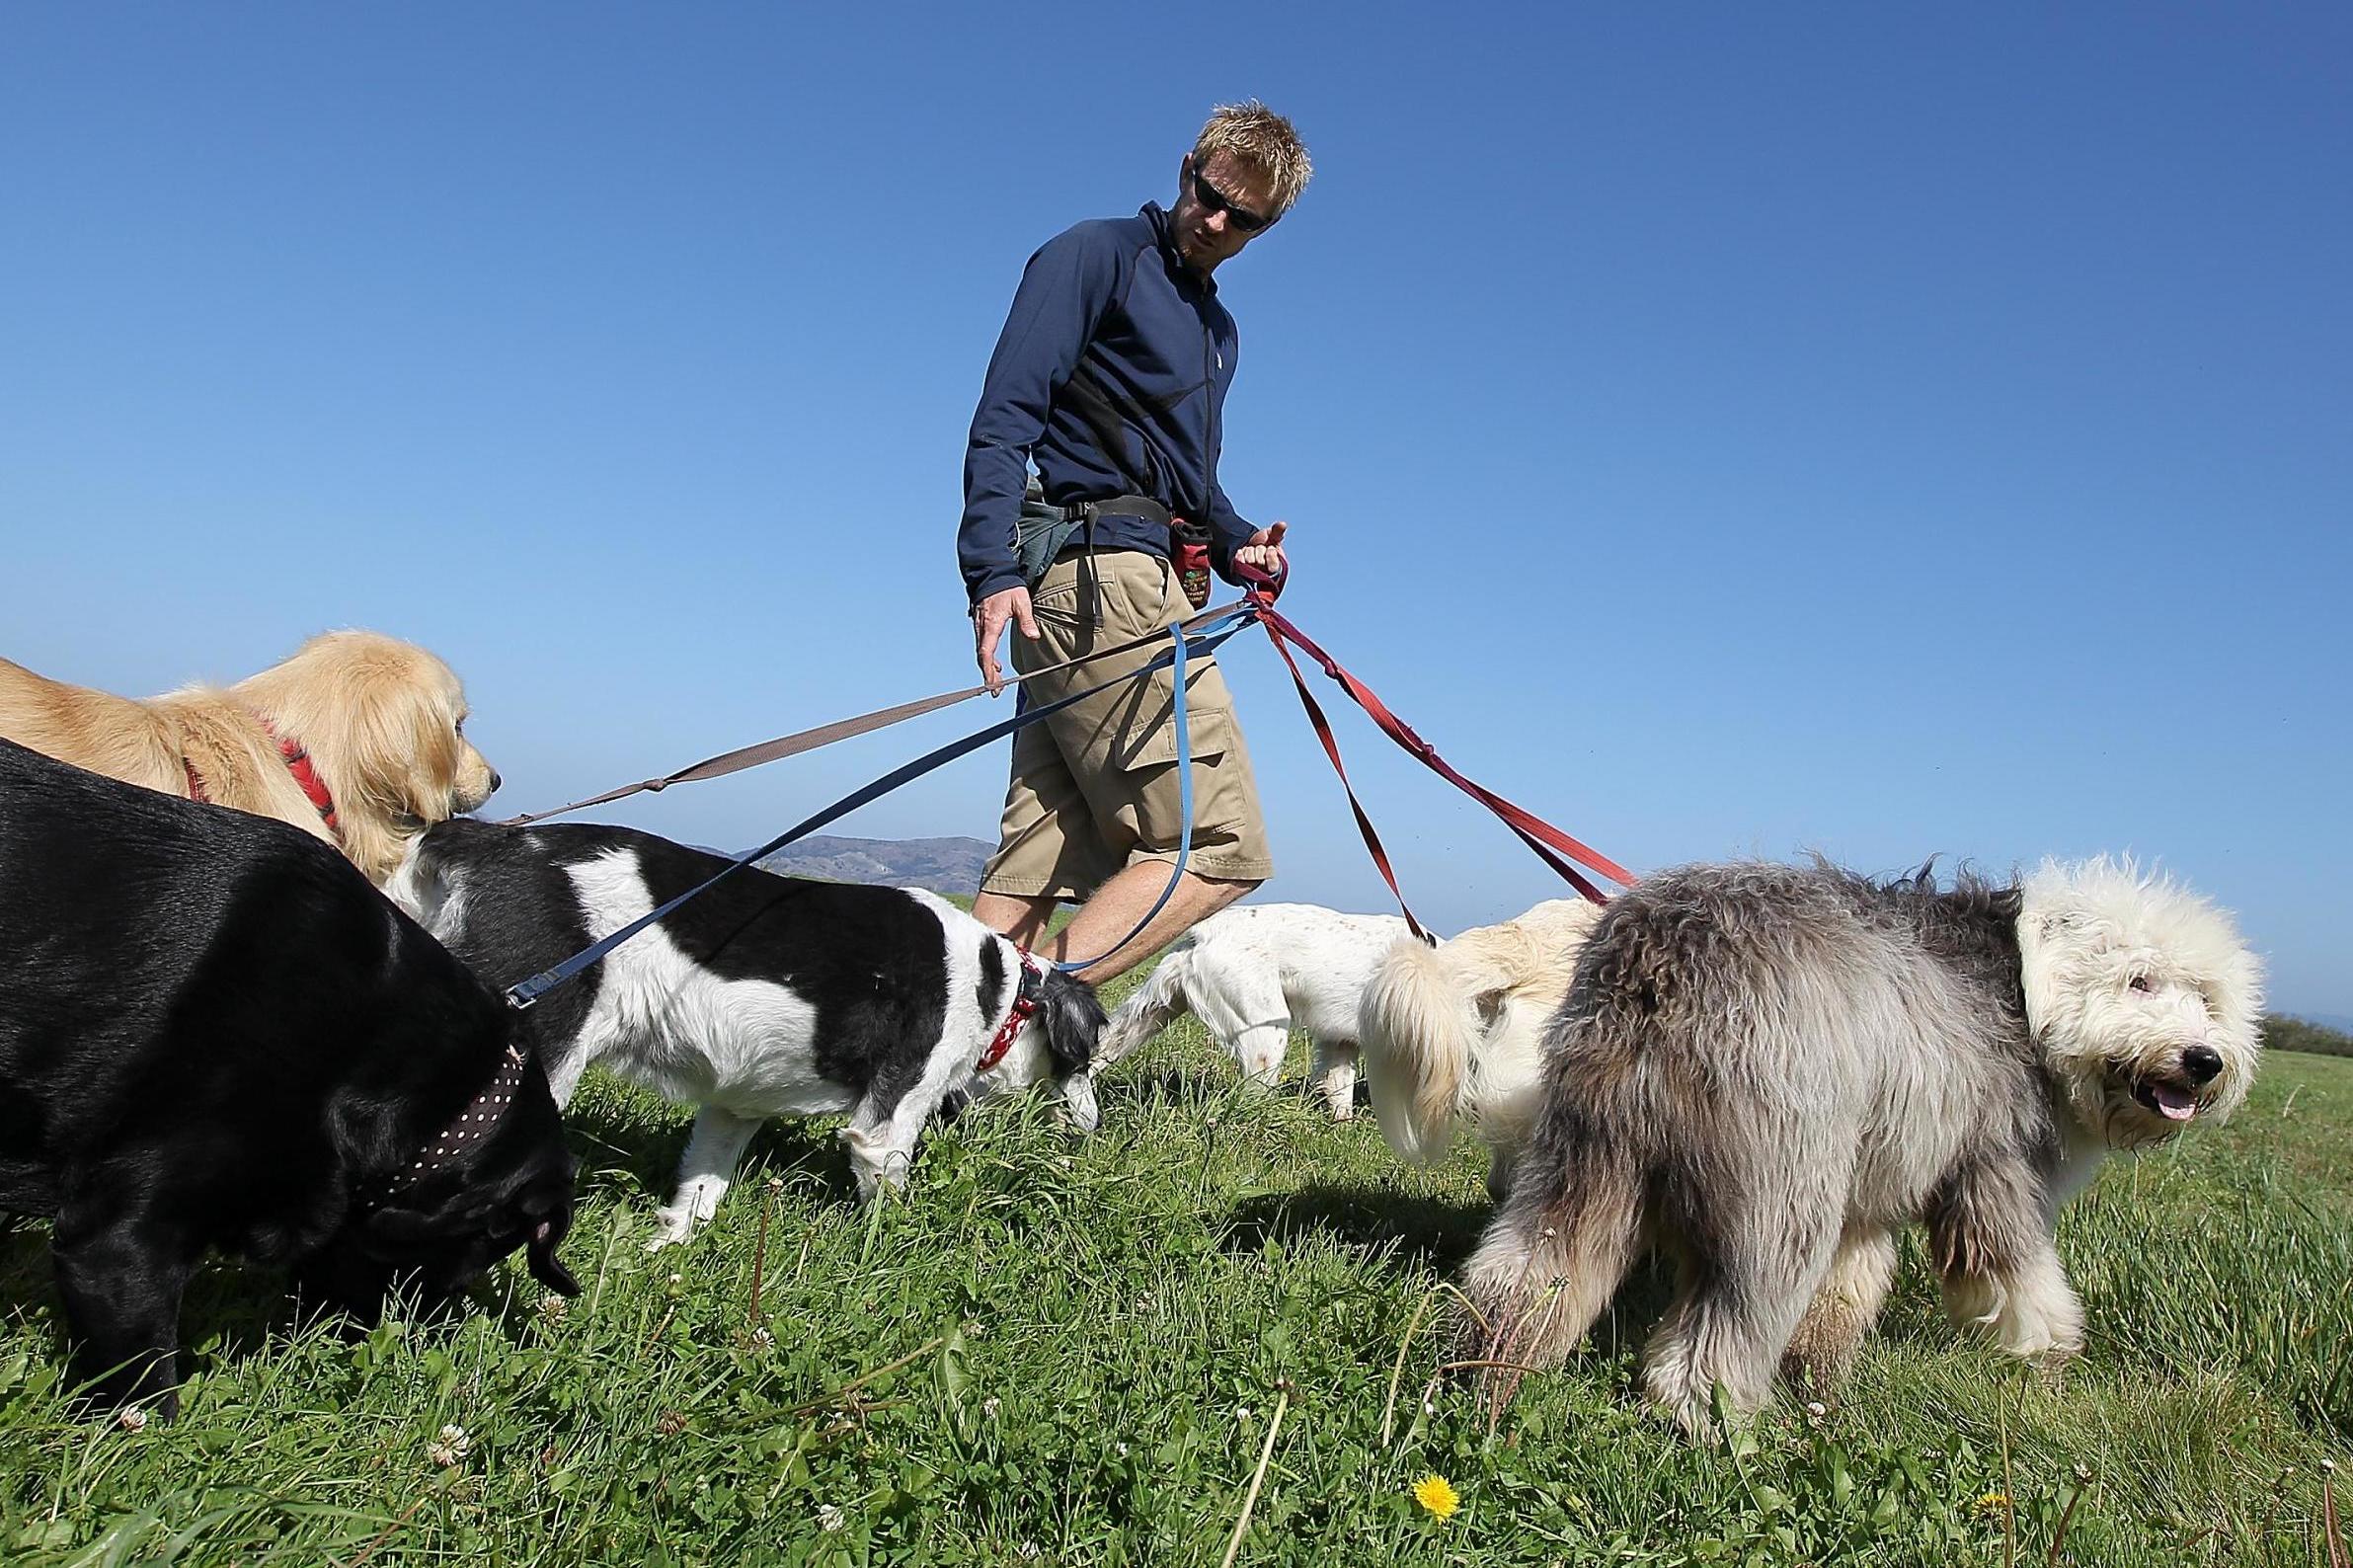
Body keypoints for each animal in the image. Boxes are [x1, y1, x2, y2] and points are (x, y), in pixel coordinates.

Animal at [390, 810, 1106, 1242]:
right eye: (1090, 1061)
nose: (1096, 1126)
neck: (1000, 988)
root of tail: (481, 838)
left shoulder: (734, 1107)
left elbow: (699, 1191)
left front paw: (669, 1249)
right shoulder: (888, 1117)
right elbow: (886, 1199)